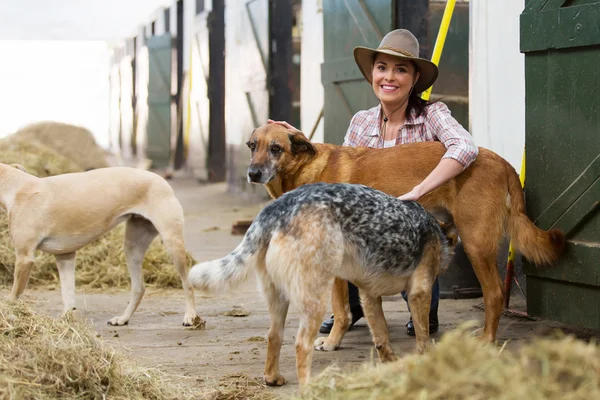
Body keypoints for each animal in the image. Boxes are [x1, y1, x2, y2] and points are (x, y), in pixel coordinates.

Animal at [1, 162, 200, 328]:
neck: (17, 187)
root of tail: (160, 180)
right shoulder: (65, 256)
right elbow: (68, 295)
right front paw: (66, 322)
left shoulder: (24, 258)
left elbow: (14, 295)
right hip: (133, 247)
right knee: (139, 288)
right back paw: (123, 318)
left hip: (172, 242)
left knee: (187, 283)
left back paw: (190, 316)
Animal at [190, 183, 458, 386]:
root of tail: (276, 208)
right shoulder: (419, 292)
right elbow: (422, 336)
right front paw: (425, 363)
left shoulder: (369, 295)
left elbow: (381, 336)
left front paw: (391, 362)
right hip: (316, 299)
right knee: (301, 345)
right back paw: (310, 387)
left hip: (278, 298)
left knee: (274, 336)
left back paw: (273, 378)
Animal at [246, 124, 564, 346]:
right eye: (252, 146)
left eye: (276, 148)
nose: (252, 173)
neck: (304, 170)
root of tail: (503, 162)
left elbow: (340, 308)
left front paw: (333, 341)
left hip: (476, 244)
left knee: (495, 294)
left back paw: (487, 338)